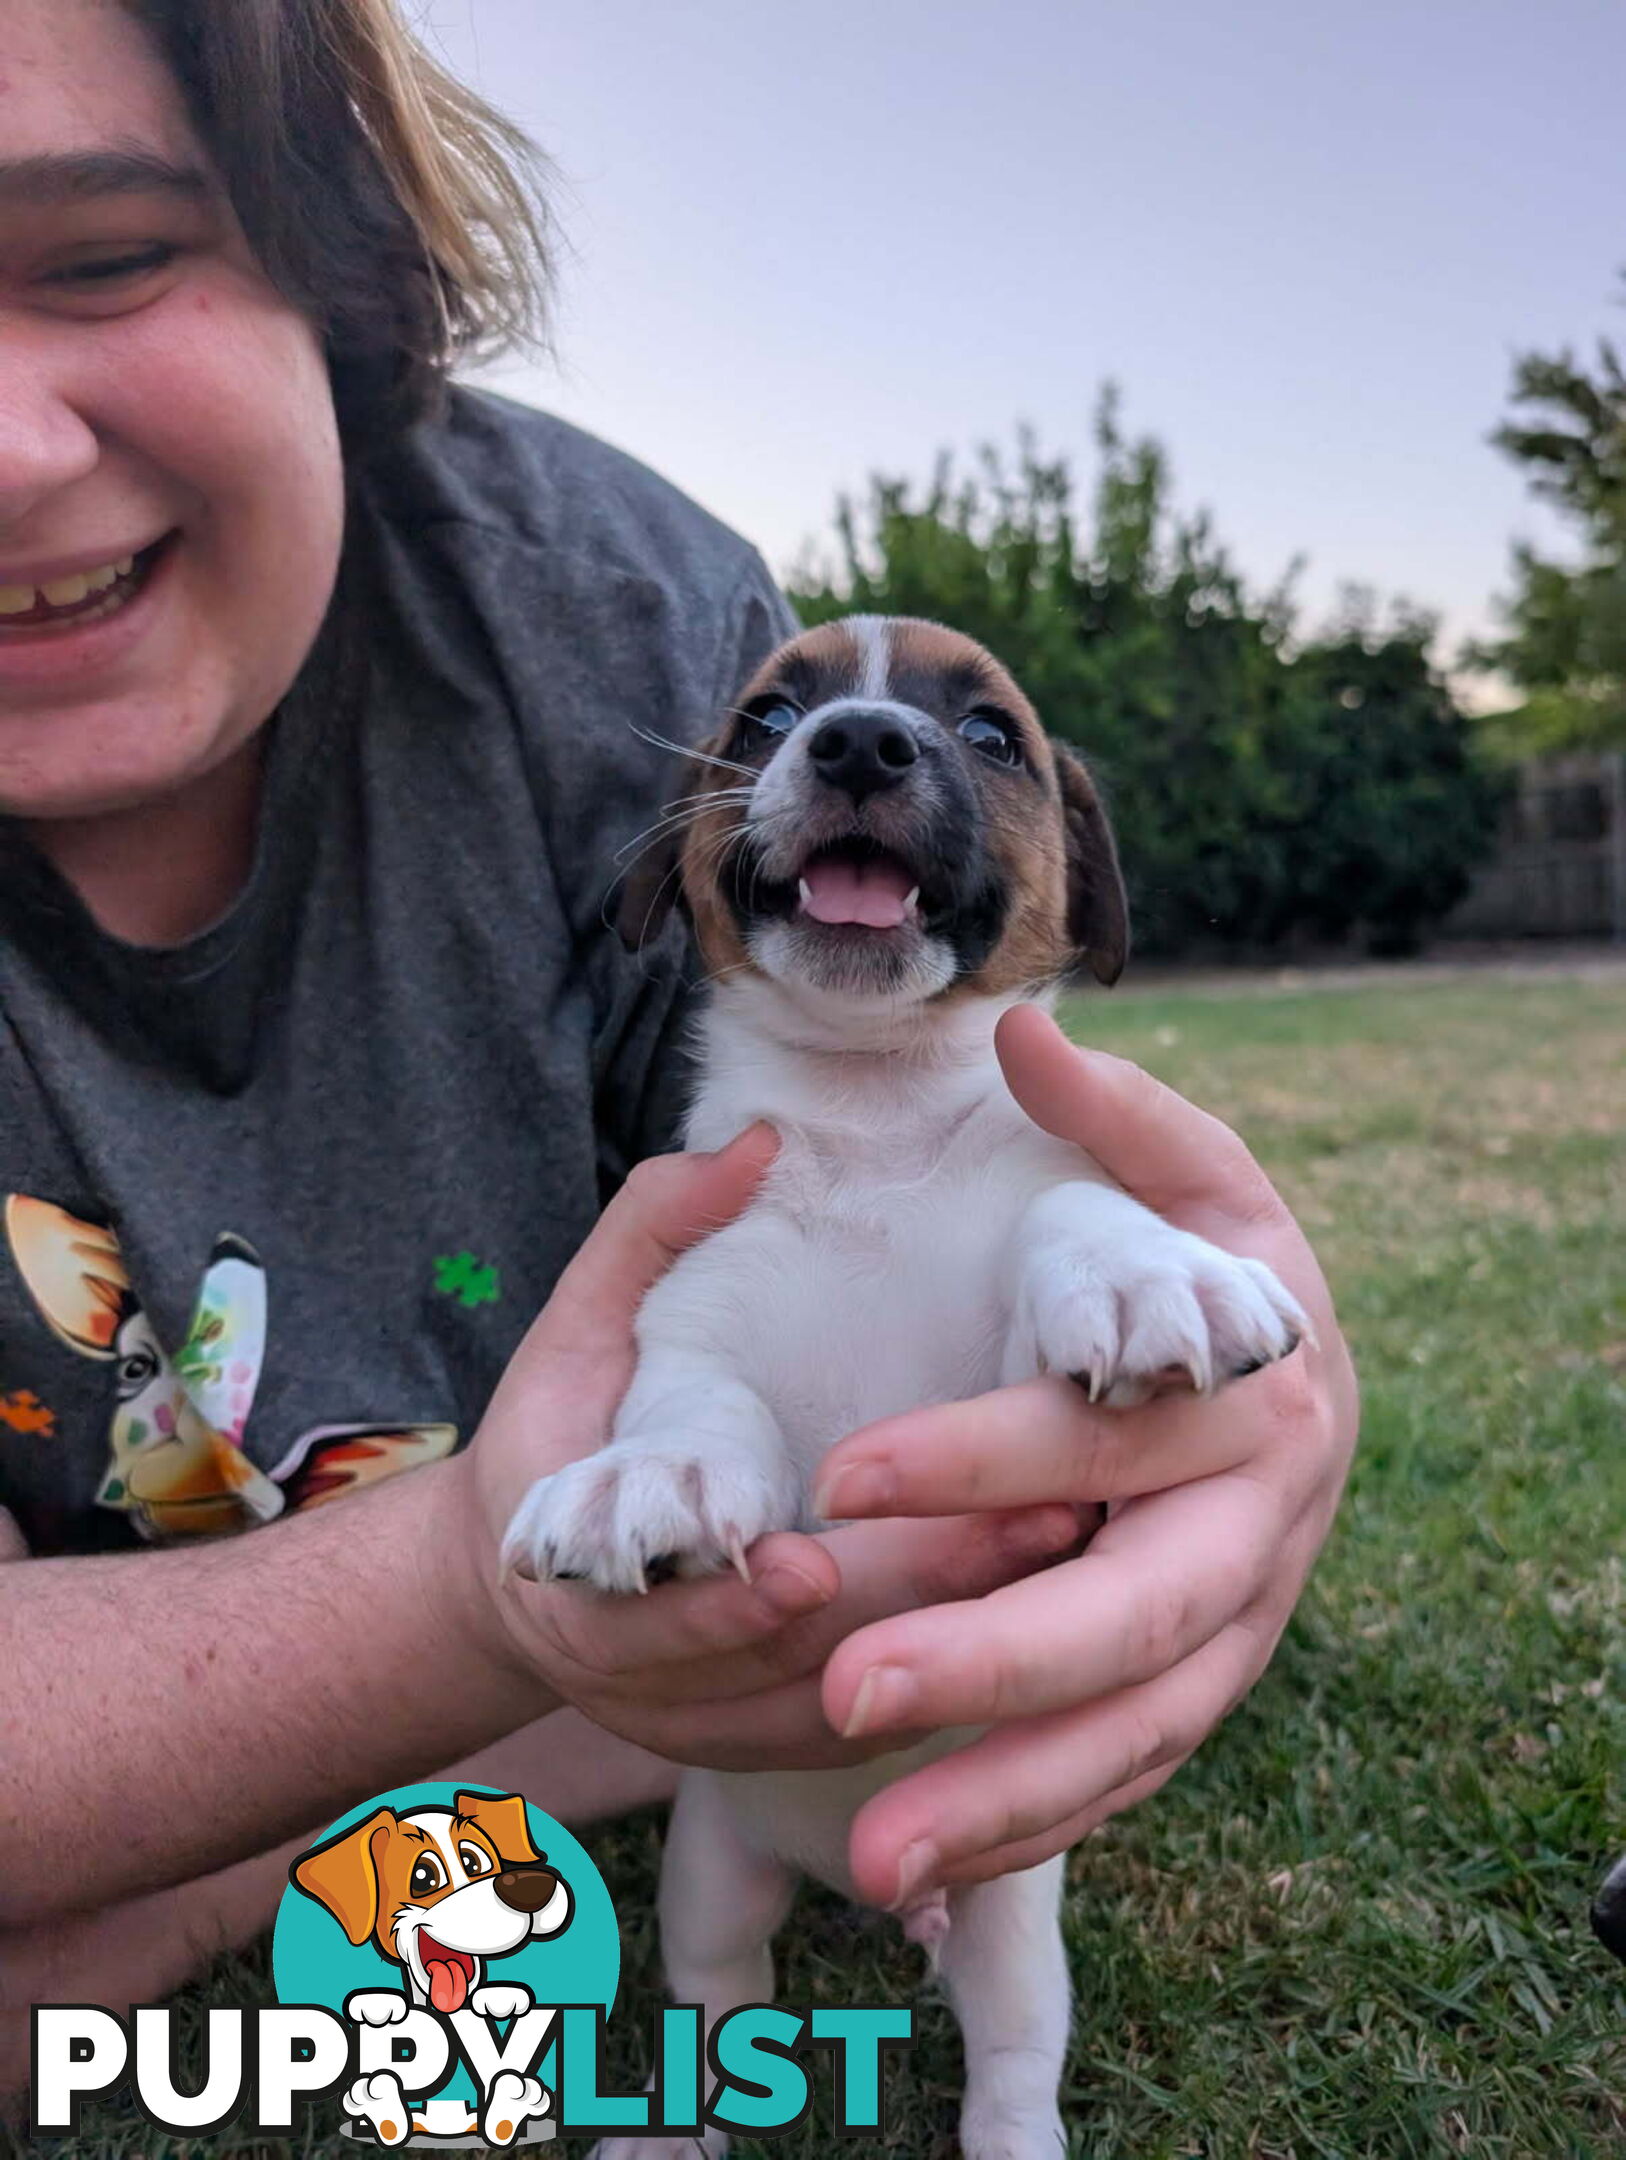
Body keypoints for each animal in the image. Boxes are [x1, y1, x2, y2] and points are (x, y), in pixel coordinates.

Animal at [500, 617, 1304, 2151]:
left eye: (990, 736)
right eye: (767, 717)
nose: (861, 743)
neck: (870, 1120)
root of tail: (869, 1890)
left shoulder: (1014, 1331)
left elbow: (1072, 1214)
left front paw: (1145, 1271)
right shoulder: (692, 1316)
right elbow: (695, 1404)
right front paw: (654, 1475)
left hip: (1007, 1915)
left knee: (1012, 2051)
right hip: (714, 1872)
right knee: (714, 2002)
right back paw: (683, 2123)